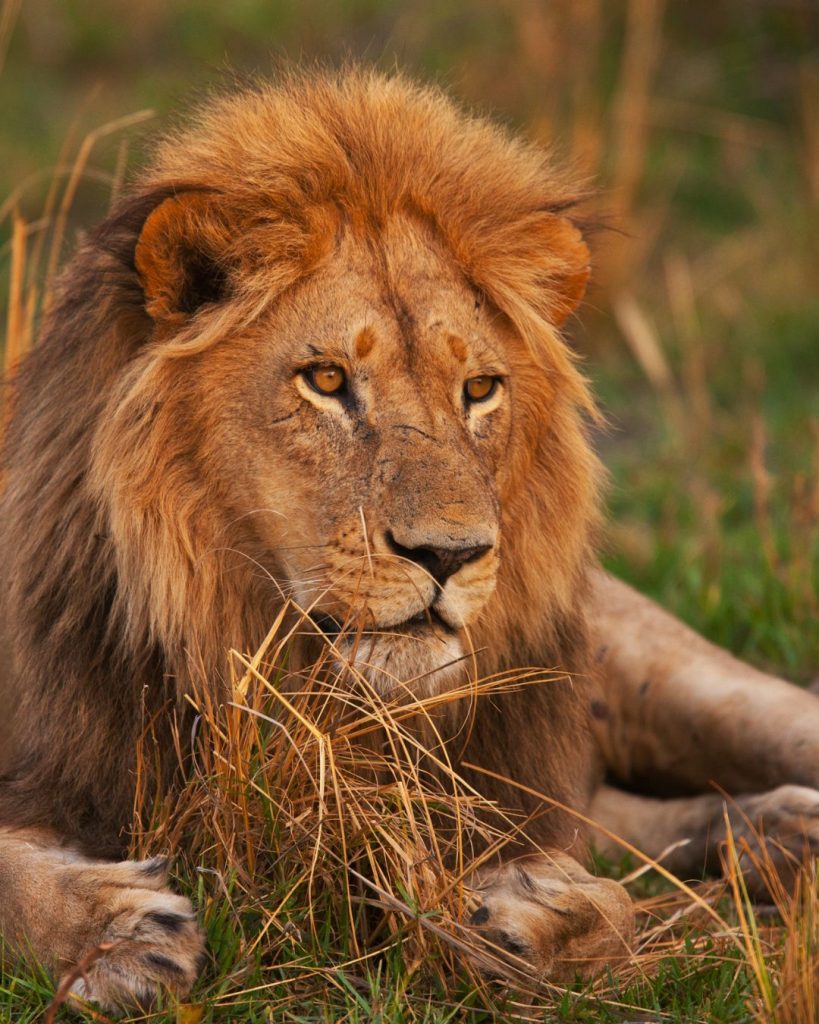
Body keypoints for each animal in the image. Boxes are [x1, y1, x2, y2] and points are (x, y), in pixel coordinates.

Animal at [1, 68, 818, 1013]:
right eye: (325, 379)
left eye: (479, 389)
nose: (450, 554)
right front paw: (117, 931)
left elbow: (602, 896)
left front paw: (534, 917)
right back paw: (774, 833)